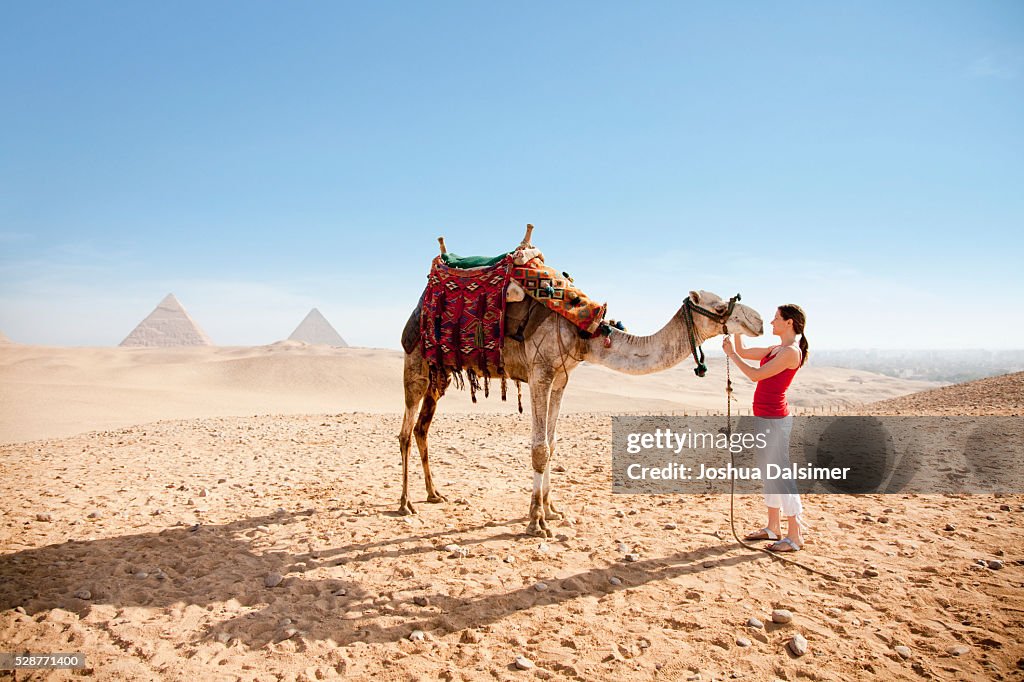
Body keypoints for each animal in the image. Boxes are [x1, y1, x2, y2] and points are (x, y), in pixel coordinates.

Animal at [395, 233, 765, 536]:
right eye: (721, 306)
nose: (759, 320)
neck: (583, 331)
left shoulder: (561, 378)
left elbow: (552, 443)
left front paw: (552, 510)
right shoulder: (540, 372)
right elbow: (539, 448)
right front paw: (536, 522)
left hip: (439, 374)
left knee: (422, 428)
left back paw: (433, 494)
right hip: (416, 363)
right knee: (405, 432)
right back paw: (405, 503)